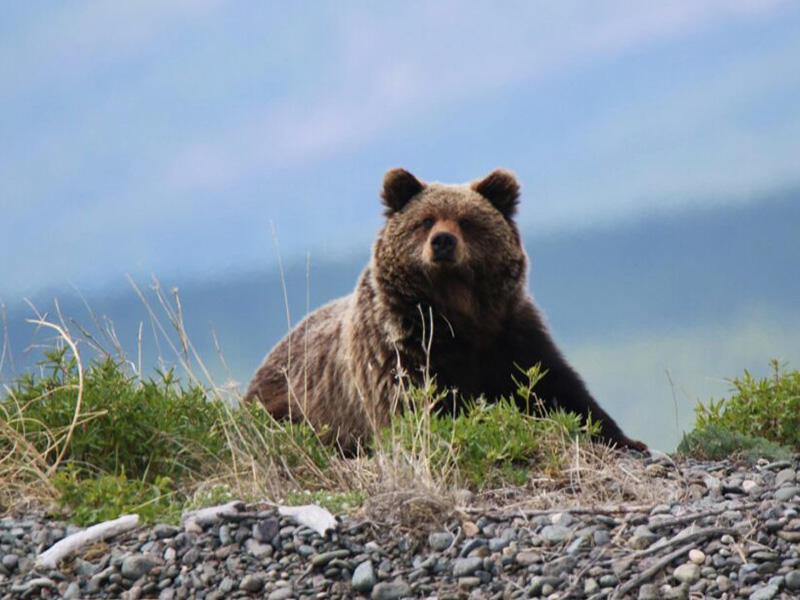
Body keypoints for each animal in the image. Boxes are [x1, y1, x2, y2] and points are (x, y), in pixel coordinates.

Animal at [245, 168, 646, 453]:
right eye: (425, 220)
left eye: (467, 221)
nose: (442, 241)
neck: (458, 317)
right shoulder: (400, 350)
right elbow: (414, 409)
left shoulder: (509, 333)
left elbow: (556, 387)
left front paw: (626, 439)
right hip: (285, 403)